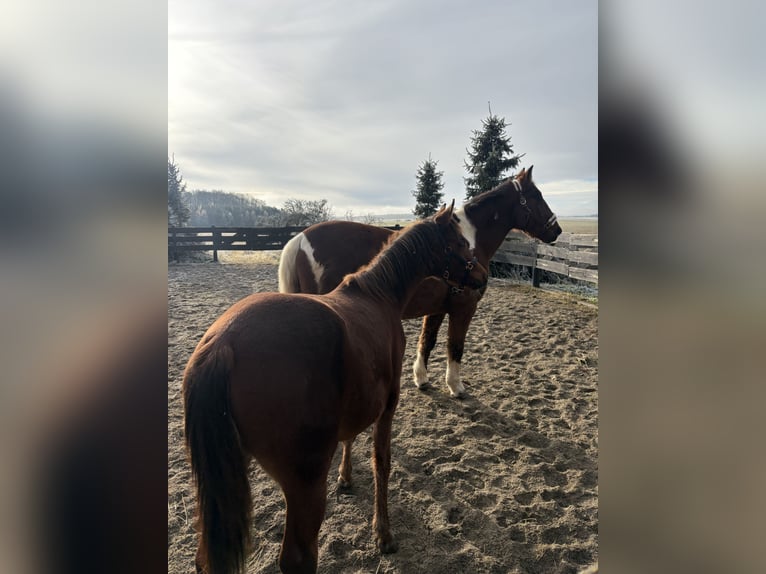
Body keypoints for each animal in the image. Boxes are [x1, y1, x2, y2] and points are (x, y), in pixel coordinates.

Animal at [183, 202, 488, 574]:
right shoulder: (389, 404)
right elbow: (381, 461)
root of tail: (222, 345)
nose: (482, 276)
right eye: (459, 243)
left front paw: (346, 478)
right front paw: (383, 534)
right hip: (306, 483)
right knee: (298, 558)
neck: (379, 295)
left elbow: (350, 438)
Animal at [278, 165, 562, 398]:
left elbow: (428, 341)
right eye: (537, 196)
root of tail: (299, 239)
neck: (469, 242)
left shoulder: (437, 308)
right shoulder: (463, 308)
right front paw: (456, 386)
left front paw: (422, 379)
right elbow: (455, 346)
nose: (556, 230)